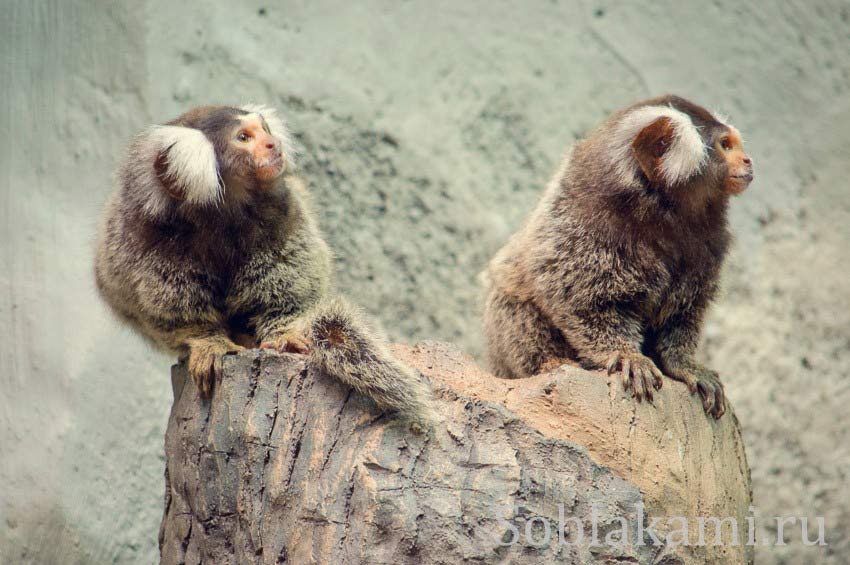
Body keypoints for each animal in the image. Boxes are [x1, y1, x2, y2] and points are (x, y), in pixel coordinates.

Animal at [94, 104, 430, 424]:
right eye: (244, 138)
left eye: (264, 129)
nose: (272, 143)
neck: (223, 212)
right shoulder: (150, 234)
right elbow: (171, 307)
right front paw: (208, 342)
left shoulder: (283, 210)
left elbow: (286, 284)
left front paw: (282, 332)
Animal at [480, 94, 752, 416]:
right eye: (725, 145)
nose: (748, 160)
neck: (665, 212)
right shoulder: (584, 223)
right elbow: (578, 299)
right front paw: (626, 355)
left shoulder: (708, 246)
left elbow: (684, 312)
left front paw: (683, 364)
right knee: (511, 301)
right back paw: (551, 364)